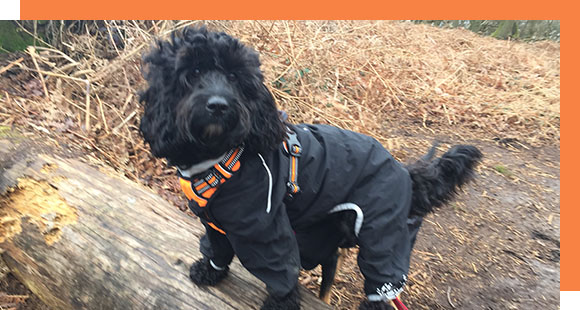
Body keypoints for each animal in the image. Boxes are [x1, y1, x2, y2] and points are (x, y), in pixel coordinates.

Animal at [138, 27, 482, 310]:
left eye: (235, 77)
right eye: (193, 72)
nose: (219, 105)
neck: (223, 158)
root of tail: (404, 172)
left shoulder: (266, 229)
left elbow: (280, 271)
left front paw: (281, 304)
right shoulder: (214, 222)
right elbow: (217, 248)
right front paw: (210, 271)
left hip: (383, 233)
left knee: (382, 284)